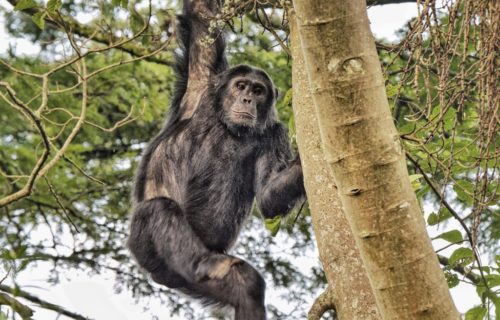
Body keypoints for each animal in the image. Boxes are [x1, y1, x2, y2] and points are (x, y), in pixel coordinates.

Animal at [127, 1, 304, 318]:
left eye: (258, 91)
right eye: (241, 86)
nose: (247, 99)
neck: (229, 126)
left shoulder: (275, 135)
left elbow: (269, 195)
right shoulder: (203, 80)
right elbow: (202, 18)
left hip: (192, 279)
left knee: (246, 286)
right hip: (143, 242)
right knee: (160, 209)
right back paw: (204, 262)